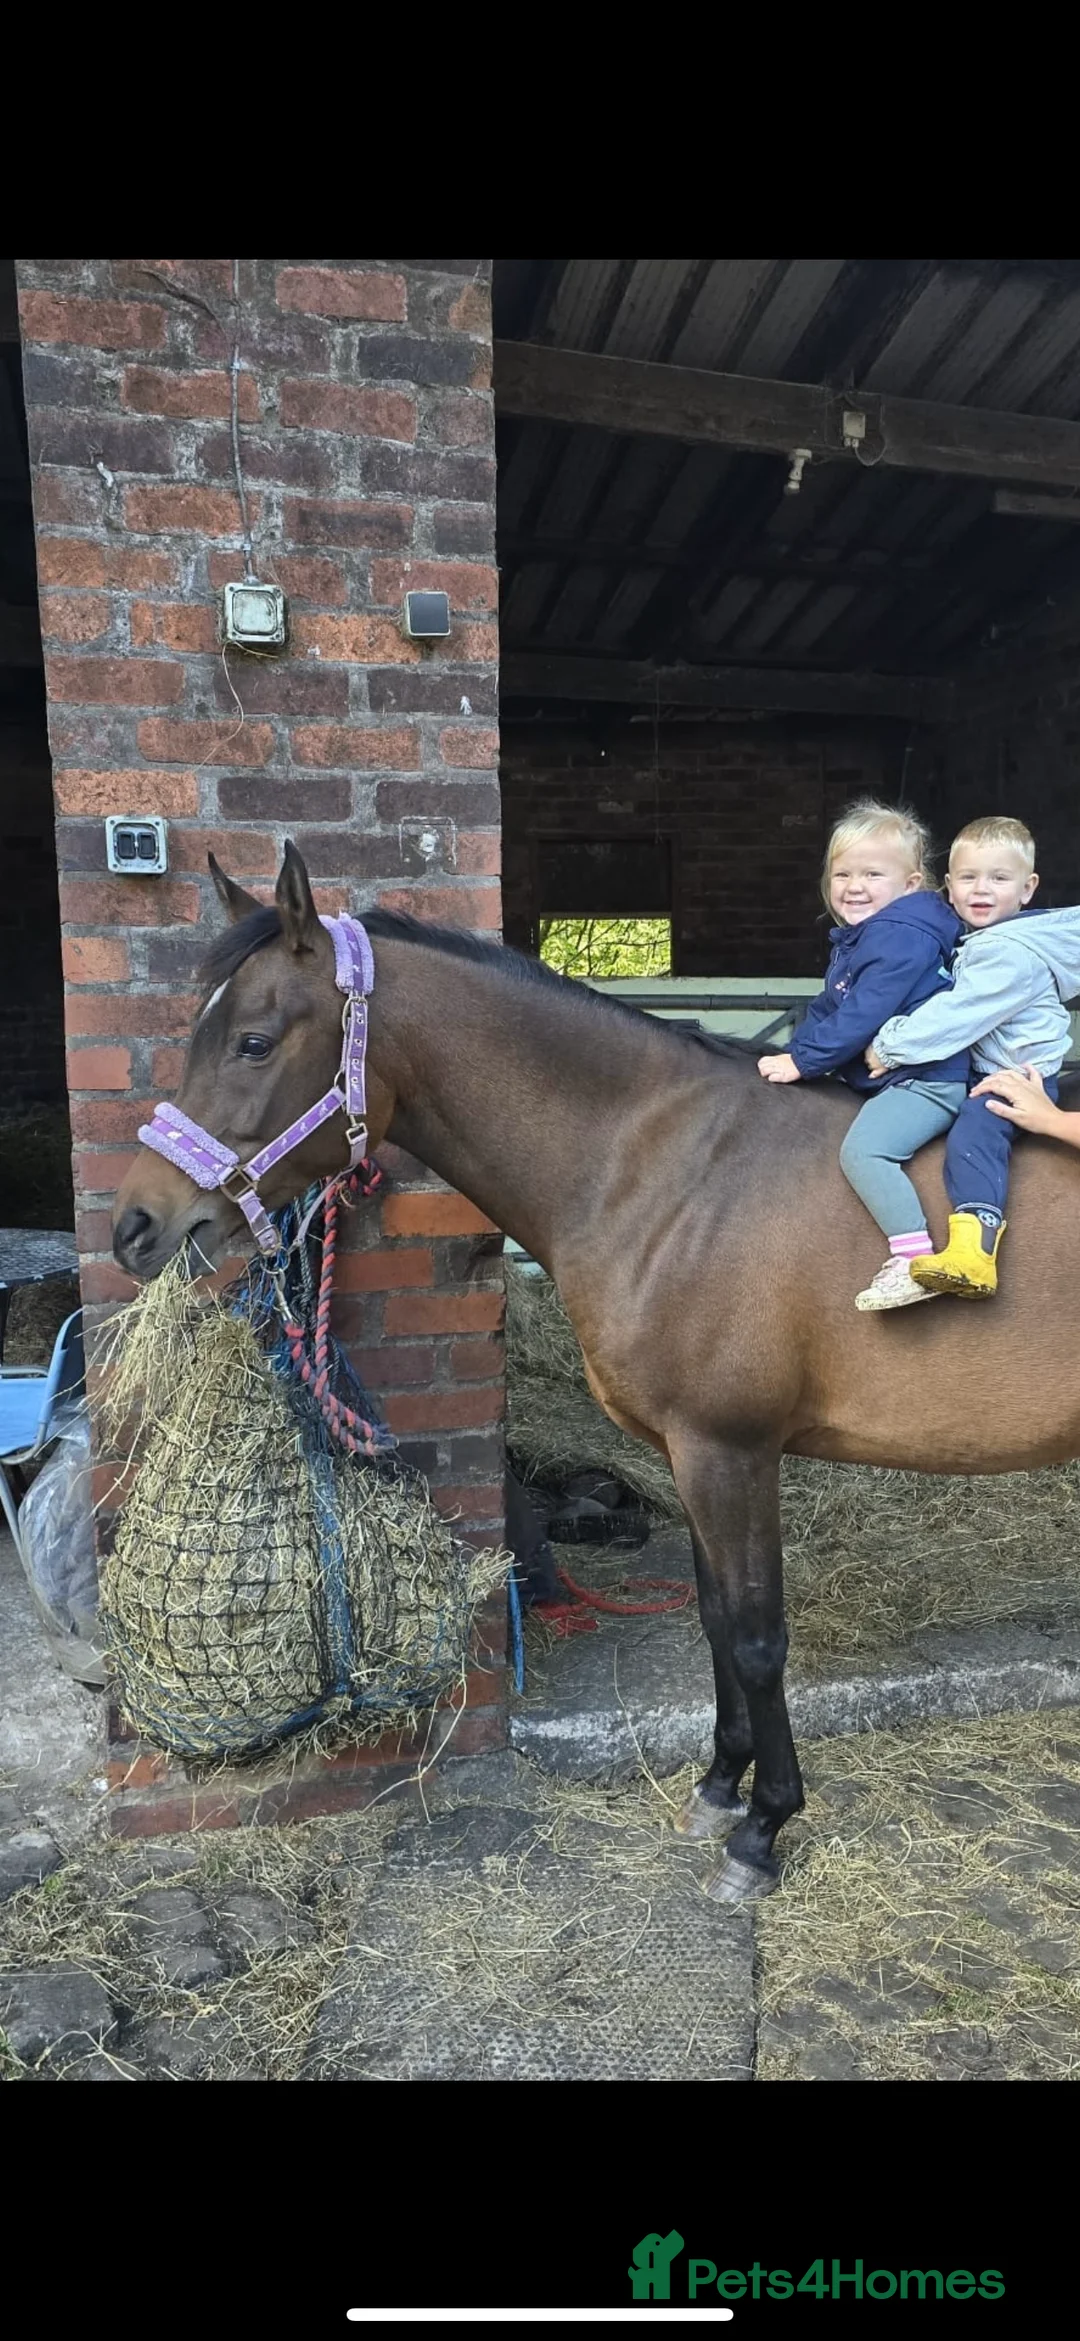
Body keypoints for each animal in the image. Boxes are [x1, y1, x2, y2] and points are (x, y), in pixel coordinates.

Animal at [112, 843, 1080, 1904]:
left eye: (252, 1042)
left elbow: (755, 1637)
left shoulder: (732, 1452)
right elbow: (713, 1621)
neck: (673, 1172)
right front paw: (718, 1788)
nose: (136, 1226)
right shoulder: (691, 1456)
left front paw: (764, 1829)